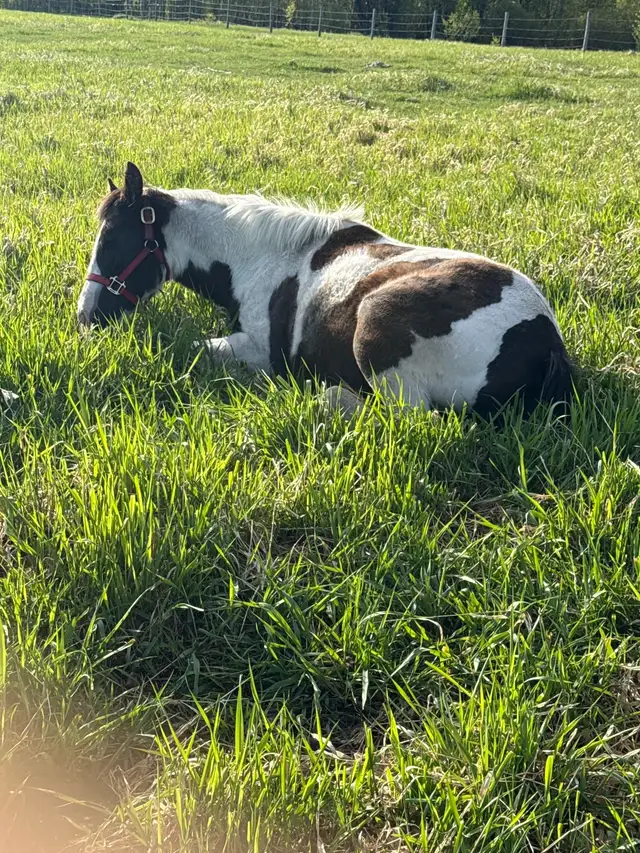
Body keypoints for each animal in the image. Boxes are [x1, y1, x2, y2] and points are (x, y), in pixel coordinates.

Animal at [77, 162, 573, 417]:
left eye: (113, 240)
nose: (85, 316)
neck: (266, 258)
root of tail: (542, 338)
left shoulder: (259, 351)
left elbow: (189, 348)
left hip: (379, 321)